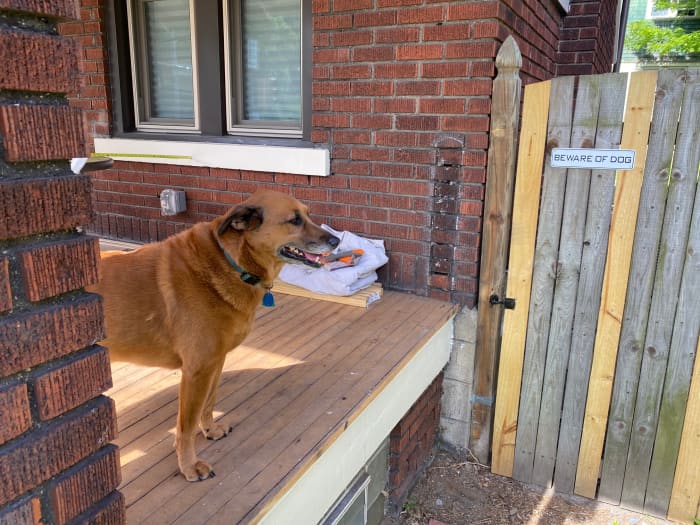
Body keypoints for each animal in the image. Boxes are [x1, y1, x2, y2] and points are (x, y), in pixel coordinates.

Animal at [89, 190, 340, 482]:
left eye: (308, 215)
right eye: (294, 220)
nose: (336, 241)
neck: (233, 262)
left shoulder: (215, 363)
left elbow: (209, 403)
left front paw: (210, 430)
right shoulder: (196, 371)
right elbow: (185, 427)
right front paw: (189, 465)